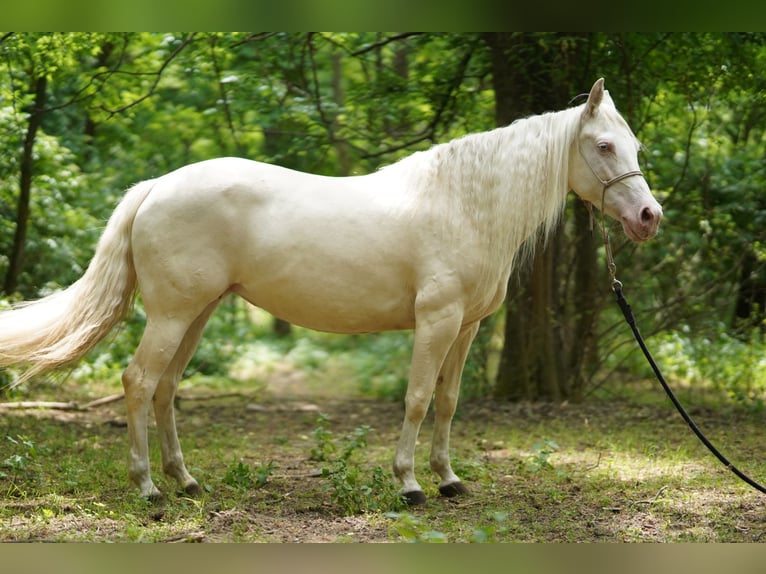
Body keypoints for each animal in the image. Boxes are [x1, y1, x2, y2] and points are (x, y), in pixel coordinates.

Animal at [0, 78, 661, 504]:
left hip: (198, 312)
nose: (649, 217)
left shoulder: (468, 326)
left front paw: (450, 481)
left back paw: (184, 482)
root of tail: (157, 186)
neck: (464, 205)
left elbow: (448, 402)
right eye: (603, 146)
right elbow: (416, 399)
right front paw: (410, 484)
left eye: (633, 146)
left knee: (164, 387)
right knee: (138, 382)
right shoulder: (437, 320)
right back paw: (146, 489)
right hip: (171, 314)